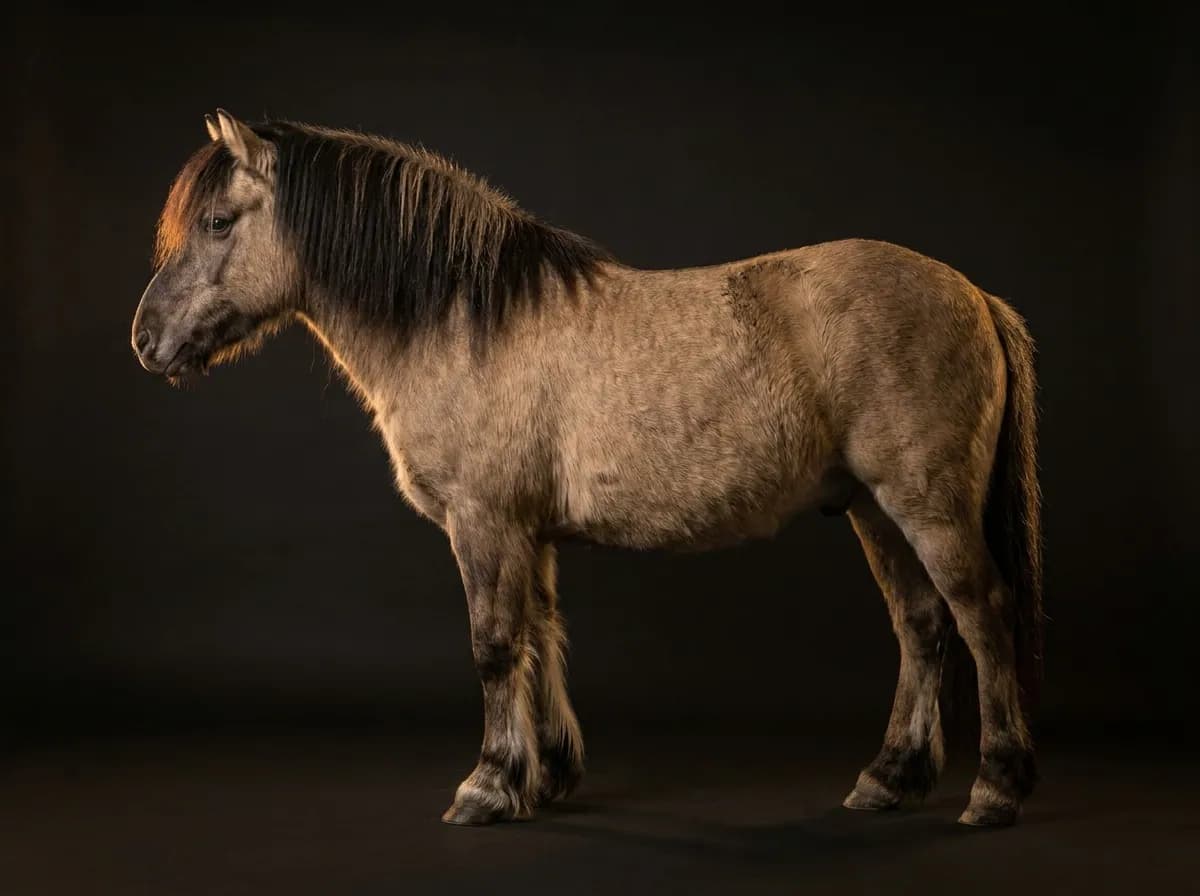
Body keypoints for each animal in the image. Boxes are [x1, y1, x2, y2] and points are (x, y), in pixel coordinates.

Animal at [131, 110, 1043, 828]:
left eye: (219, 222)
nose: (146, 339)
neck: (467, 322)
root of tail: (975, 295)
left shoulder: (485, 523)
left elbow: (496, 643)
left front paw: (488, 785)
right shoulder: (528, 534)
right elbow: (541, 635)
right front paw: (548, 775)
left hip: (925, 505)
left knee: (980, 615)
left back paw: (995, 789)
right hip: (872, 509)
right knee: (920, 627)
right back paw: (889, 779)